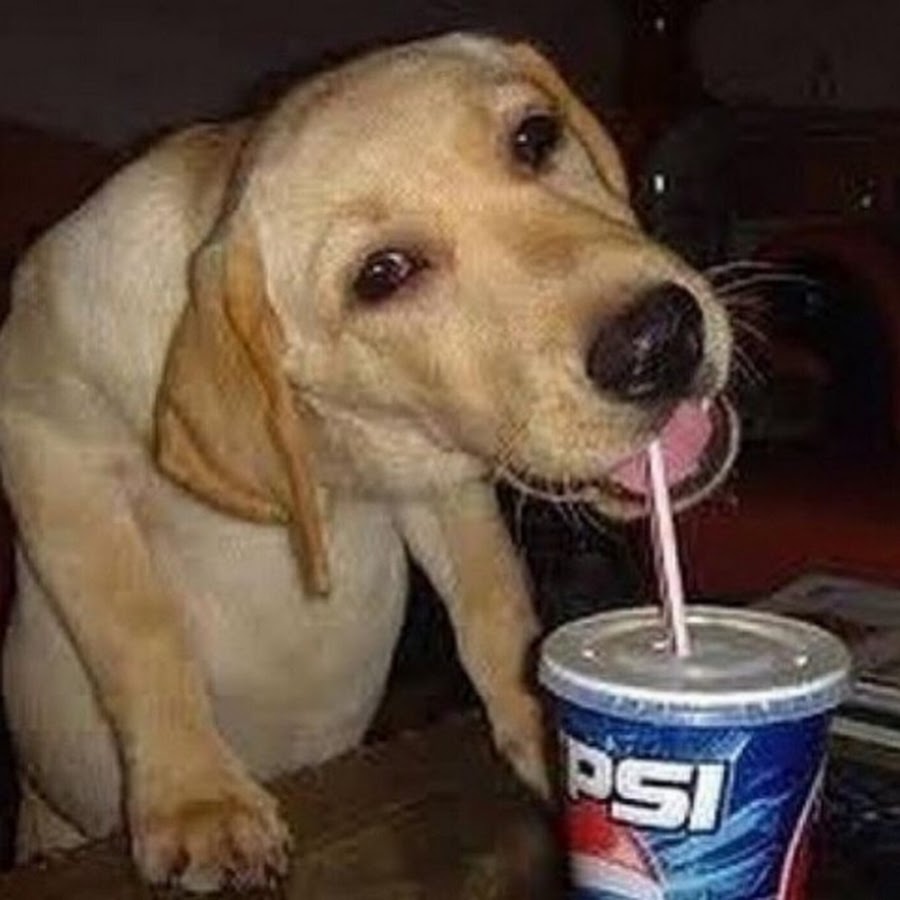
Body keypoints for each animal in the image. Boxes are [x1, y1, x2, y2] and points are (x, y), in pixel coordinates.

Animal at [0, 33, 737, 892]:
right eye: (382, 274)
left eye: (535, 137)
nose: (659, 341)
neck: (330, 446)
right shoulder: (50, 453)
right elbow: (139, 629)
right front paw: (197, 797)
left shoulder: (439, 475)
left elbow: (493, 601)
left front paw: (540, 728)